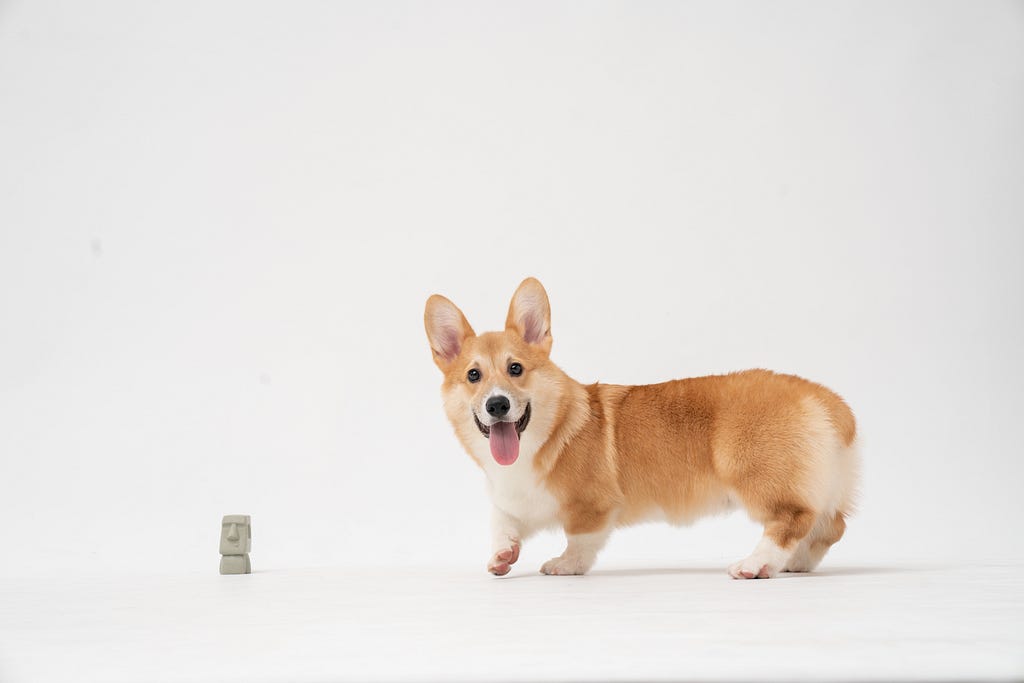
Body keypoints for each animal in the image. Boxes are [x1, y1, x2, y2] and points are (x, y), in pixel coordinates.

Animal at [419, 276, 860, 577]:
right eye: (473, 375)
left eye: (515, 369)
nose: (497, 405)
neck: (541, 436)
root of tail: (825, 399)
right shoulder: (514, 499)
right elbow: (502, 521)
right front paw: (502, 554)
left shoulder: (594, 506)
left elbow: (579, 540)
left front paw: (564, 564)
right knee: (830, 525)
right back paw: (795, 562)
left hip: (754, 474)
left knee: (793, 519)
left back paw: (757, 564)